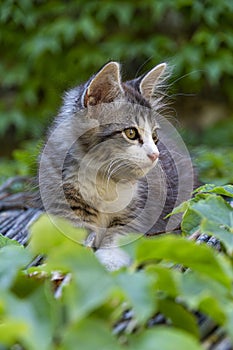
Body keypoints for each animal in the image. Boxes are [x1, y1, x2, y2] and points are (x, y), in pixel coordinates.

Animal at [38, 61, 194, 270]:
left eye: (154, 137)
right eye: (131, 133)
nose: (155, 155)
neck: (102, 176)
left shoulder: (137, 212)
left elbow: (116, 244)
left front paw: (107, 265)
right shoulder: (65, 205)